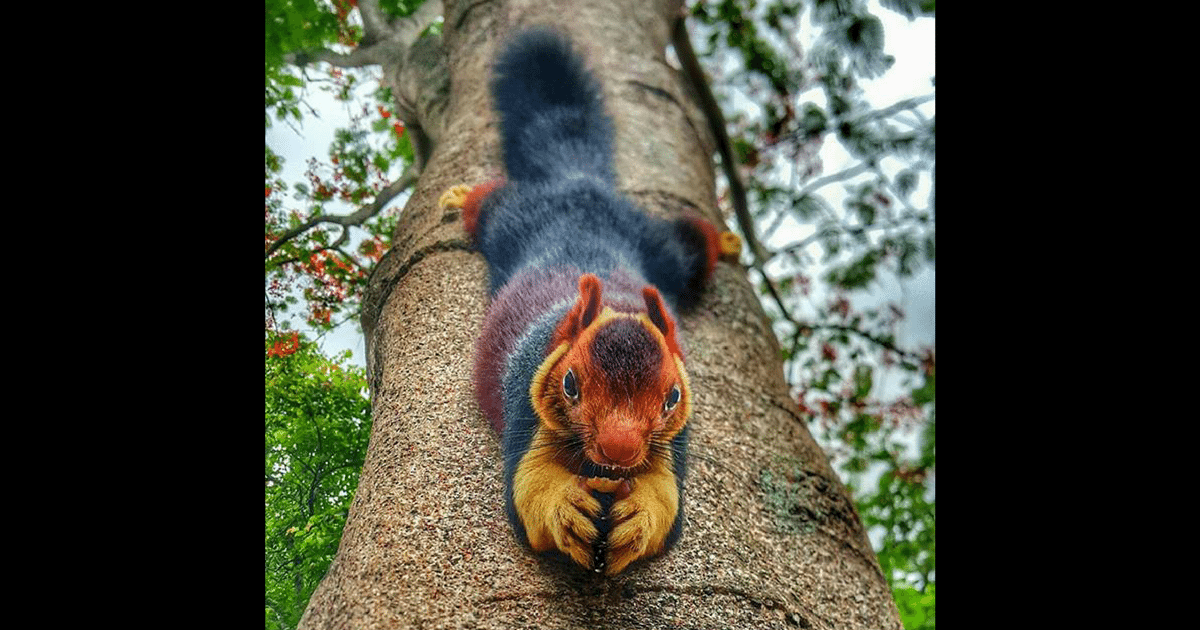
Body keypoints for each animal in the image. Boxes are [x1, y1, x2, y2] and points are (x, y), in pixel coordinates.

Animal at [441, 28, 739, 573]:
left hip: (661, 248)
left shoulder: (675, 439)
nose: (618, 449)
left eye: (673, 396)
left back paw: (724, 241)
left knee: (690, 244)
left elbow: (666, 496)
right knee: (492, 204)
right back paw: (464, 195)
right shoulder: (526, 397)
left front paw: (639, 518)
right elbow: (528, 486)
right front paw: (565, 509)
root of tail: (581, 185)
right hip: (515, 218)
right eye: (571, 384)